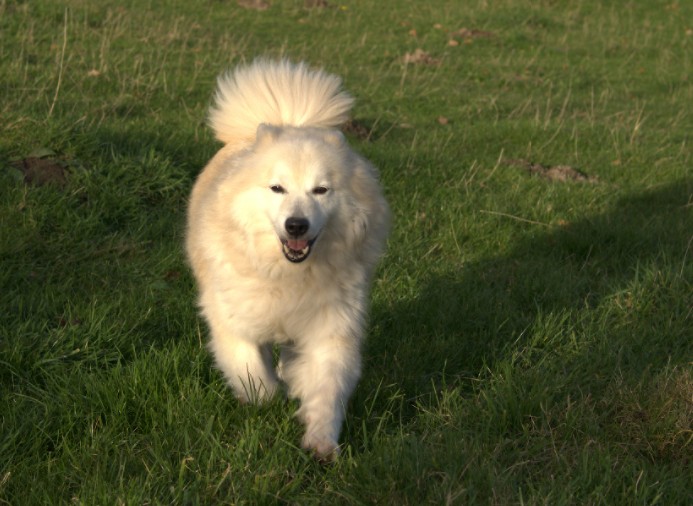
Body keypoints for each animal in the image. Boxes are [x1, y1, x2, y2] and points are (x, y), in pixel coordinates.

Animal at [186, 59, 390, 458]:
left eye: (321, 190)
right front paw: (266, 396)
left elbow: (327, 386)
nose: (296, 225)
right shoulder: (233, 321)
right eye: (277, 188)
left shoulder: (331, 324)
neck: (288, 274)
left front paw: (321, 442)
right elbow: (253, 374)